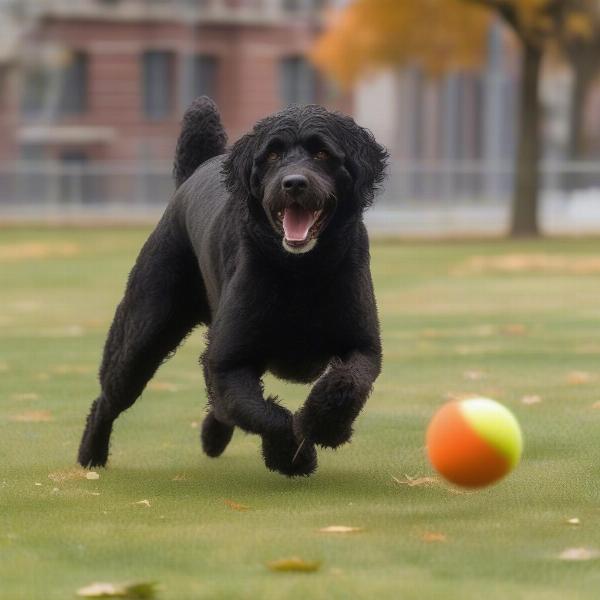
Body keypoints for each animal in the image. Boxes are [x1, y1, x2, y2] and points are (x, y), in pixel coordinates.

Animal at [77, 96, 386, 476]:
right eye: (272, 154)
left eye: (323, 153)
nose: (294, 183)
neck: (300, 273)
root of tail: (194, 172)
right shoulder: (228, 361)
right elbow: (261, 412)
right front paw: (293, 456)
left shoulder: (364, 346)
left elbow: (348, 383)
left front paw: (326, 427)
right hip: (142, 336)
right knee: (108, 398)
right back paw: (91, 456)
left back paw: (212, 436)